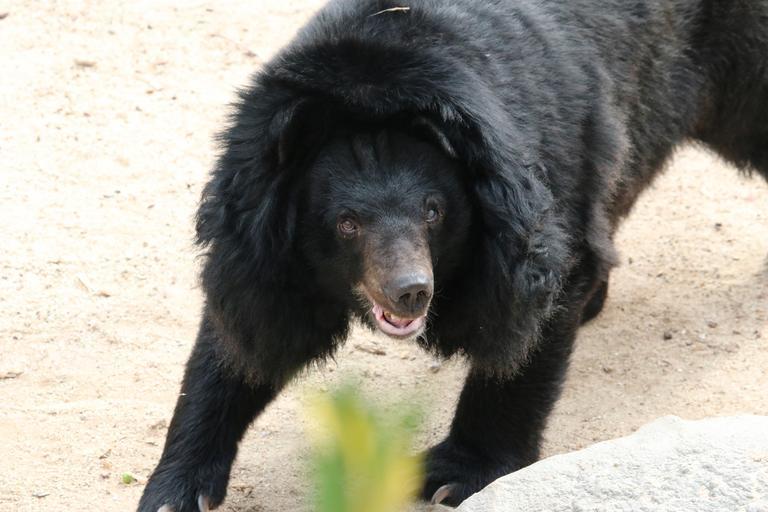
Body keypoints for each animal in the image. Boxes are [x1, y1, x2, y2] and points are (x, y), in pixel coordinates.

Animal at [139, 0, 768, 510]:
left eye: (433, 211)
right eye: (346, 223)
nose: (411, 291)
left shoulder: (539, 185)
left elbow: (535, 311)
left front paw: (451, 475)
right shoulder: (259, 236)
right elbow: (238, 337)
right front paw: (175, 490)